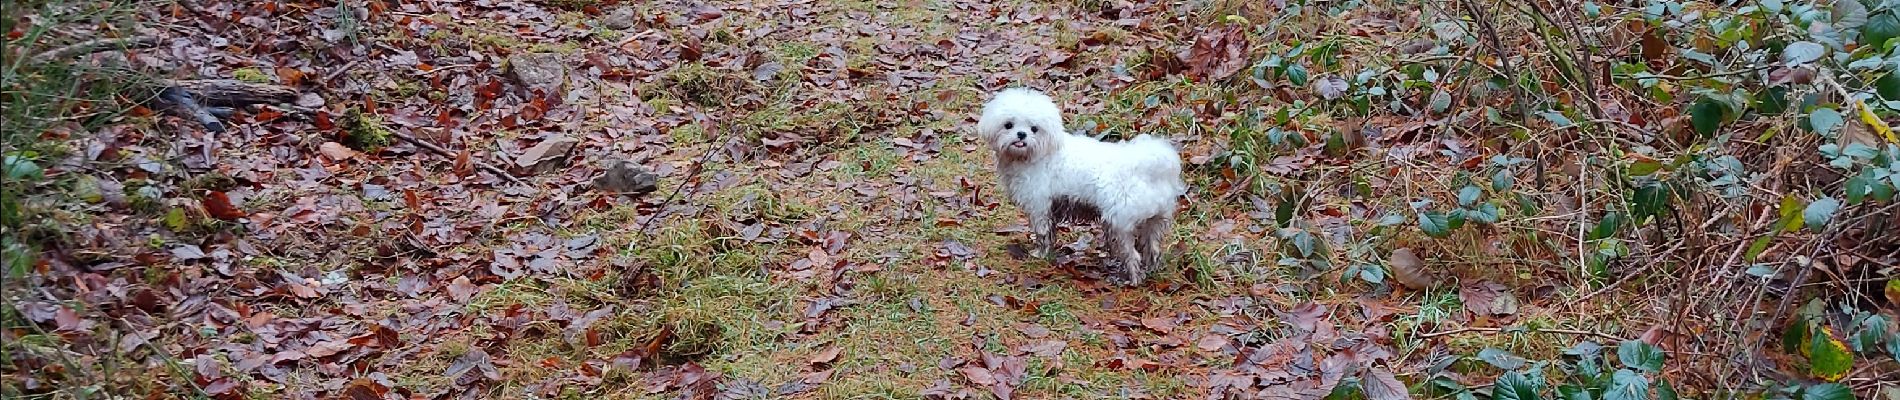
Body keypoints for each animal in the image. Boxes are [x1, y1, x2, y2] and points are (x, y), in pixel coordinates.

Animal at [980, 87, 1185, 284]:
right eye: (1008, 125)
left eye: (1034, 128)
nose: (1021, 135)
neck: (1039, 153)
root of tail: (1150, 168)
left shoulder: (1039, 206)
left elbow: (1042, 234)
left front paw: (1040, 254)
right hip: (1154, 222)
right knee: (1152, 249)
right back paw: (1151, 270)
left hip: (1119, 223)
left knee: (1132, 255)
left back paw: (1132, 280)